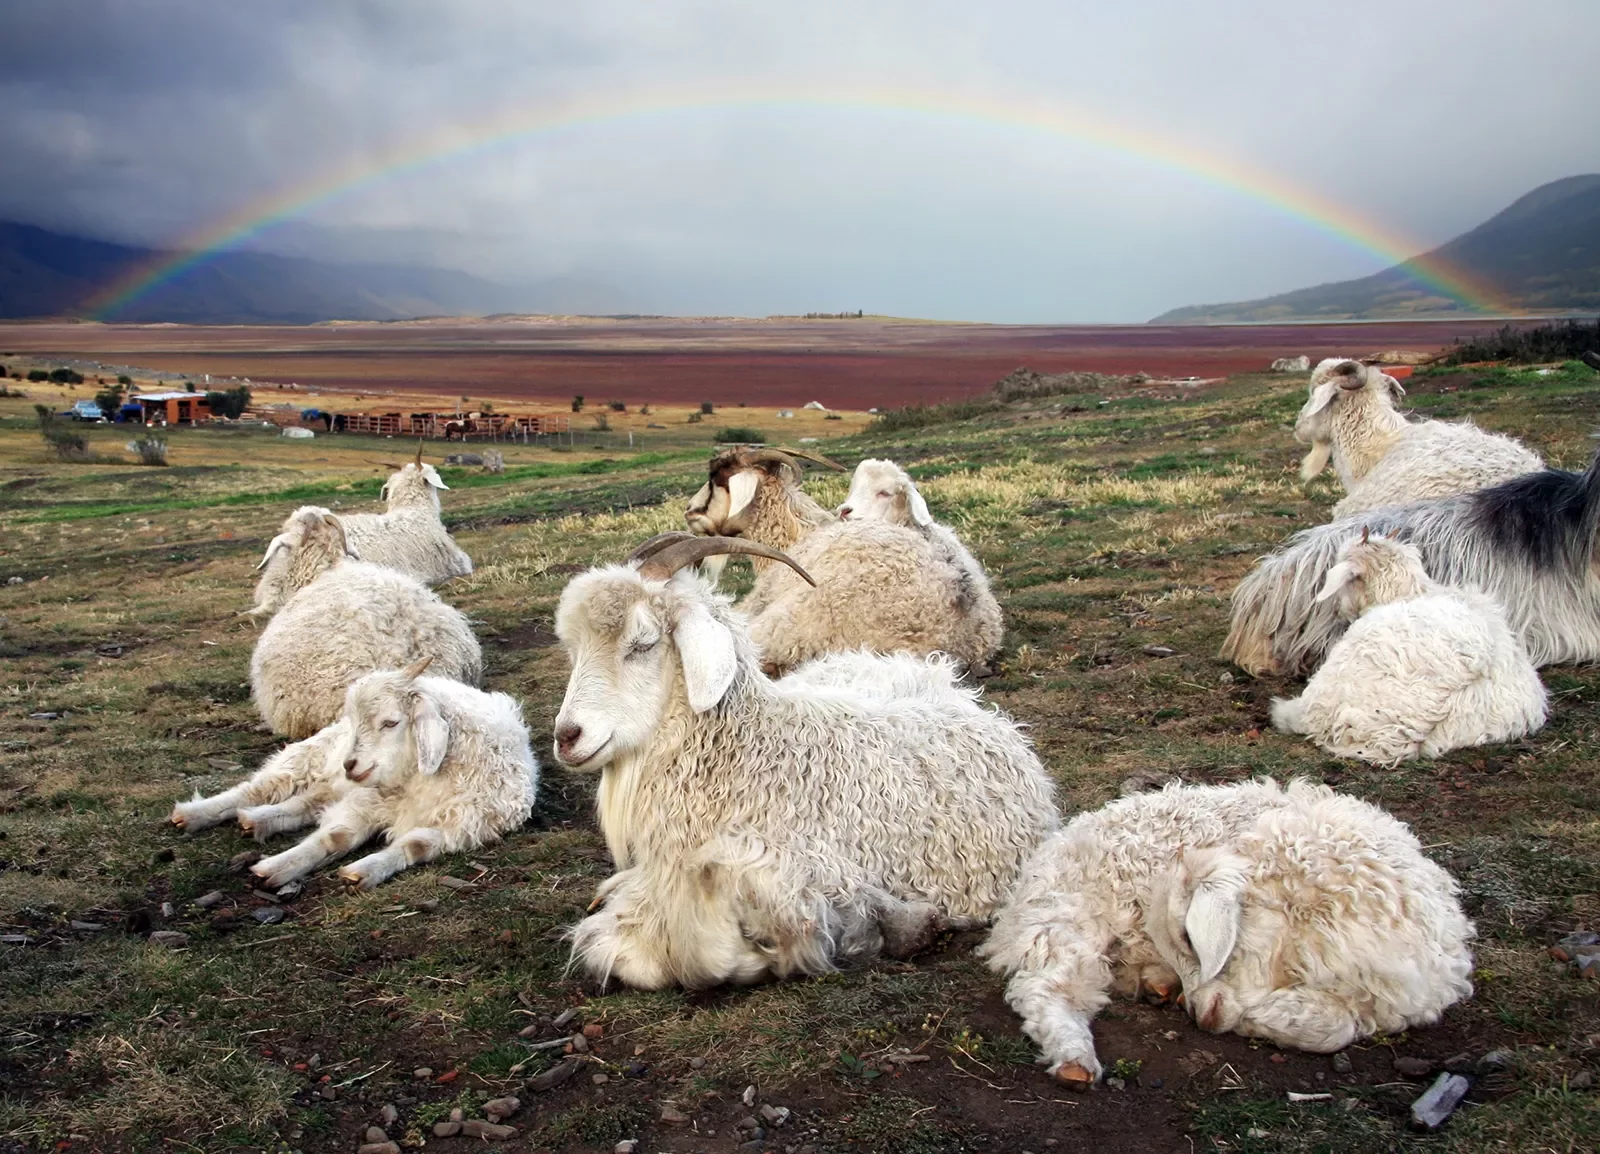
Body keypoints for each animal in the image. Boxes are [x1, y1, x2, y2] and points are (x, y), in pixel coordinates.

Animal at [972, 777, 1472, 1081]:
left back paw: (1153, 985)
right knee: (1048, 986)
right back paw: (1075, 1060)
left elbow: (1334, 1028)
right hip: (1070, 914)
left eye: (1190, 938)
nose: (1198, 1013)